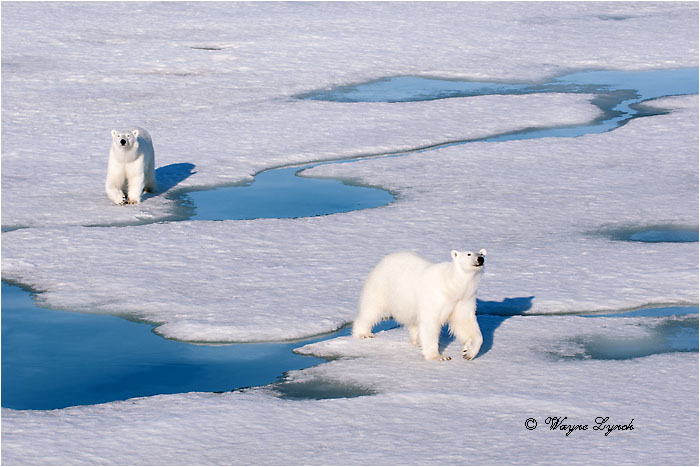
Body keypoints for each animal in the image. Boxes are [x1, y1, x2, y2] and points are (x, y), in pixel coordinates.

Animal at [352, 249, 487, 361]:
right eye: (468, 254)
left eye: (481, 253)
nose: (480, 259)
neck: (452, 285)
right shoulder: (436, 297)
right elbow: (430, 323)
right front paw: (438, 356)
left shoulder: (464, 299)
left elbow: (465, 323)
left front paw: (468, 352)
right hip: (382, 285)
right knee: (372, 309)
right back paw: (364, 333)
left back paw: (417, 341)